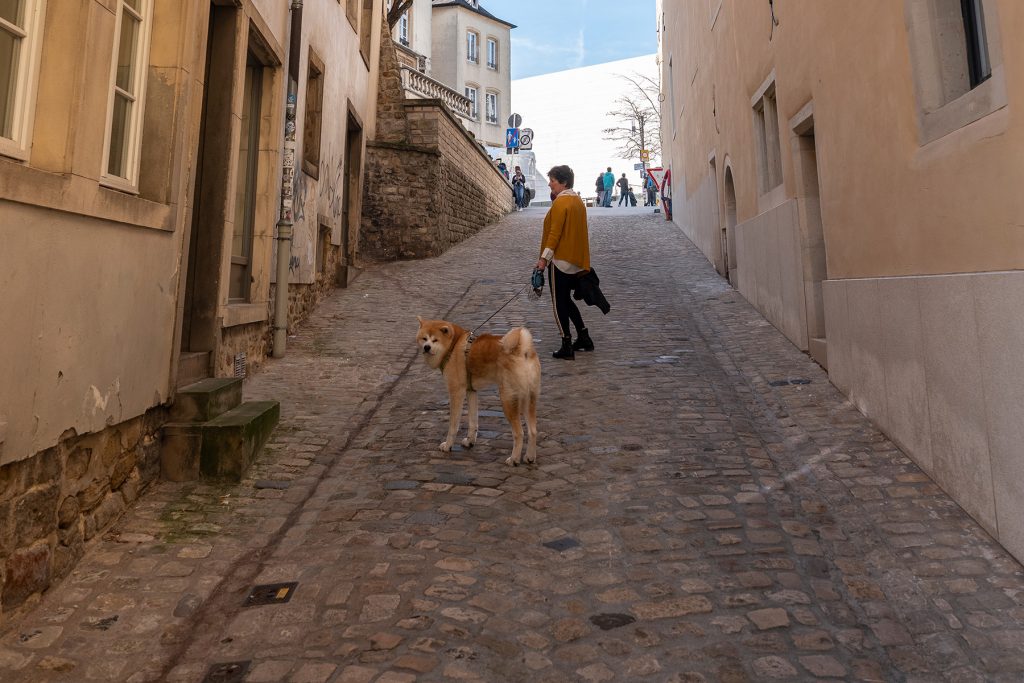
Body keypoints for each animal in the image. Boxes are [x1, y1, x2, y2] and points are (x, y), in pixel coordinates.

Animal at [417, 317, 544, 466]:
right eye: (424, 338)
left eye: (435, 340)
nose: (426, 347)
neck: (453, 346)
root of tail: (523, 350)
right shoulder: (471, 391)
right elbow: (473, 422)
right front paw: (470, 441)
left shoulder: (456, 392)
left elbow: (453, 426)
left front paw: (448, 445)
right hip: (528, 399)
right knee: (533, 431)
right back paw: (530, 457)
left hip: (507, 399)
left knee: (519, 433)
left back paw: (514, 459)